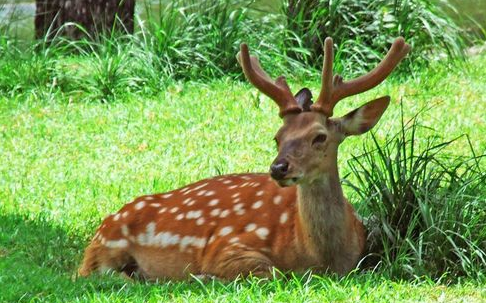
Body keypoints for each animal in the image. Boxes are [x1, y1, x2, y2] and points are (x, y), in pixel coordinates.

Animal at [79, 36, 410, 282]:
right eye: (278, 136)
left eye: (320, 137)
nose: (278, 168)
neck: (321, 257)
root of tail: (102, 225)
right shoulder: (227, 245)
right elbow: (272, 272)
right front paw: (204, 276)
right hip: (105, 250)